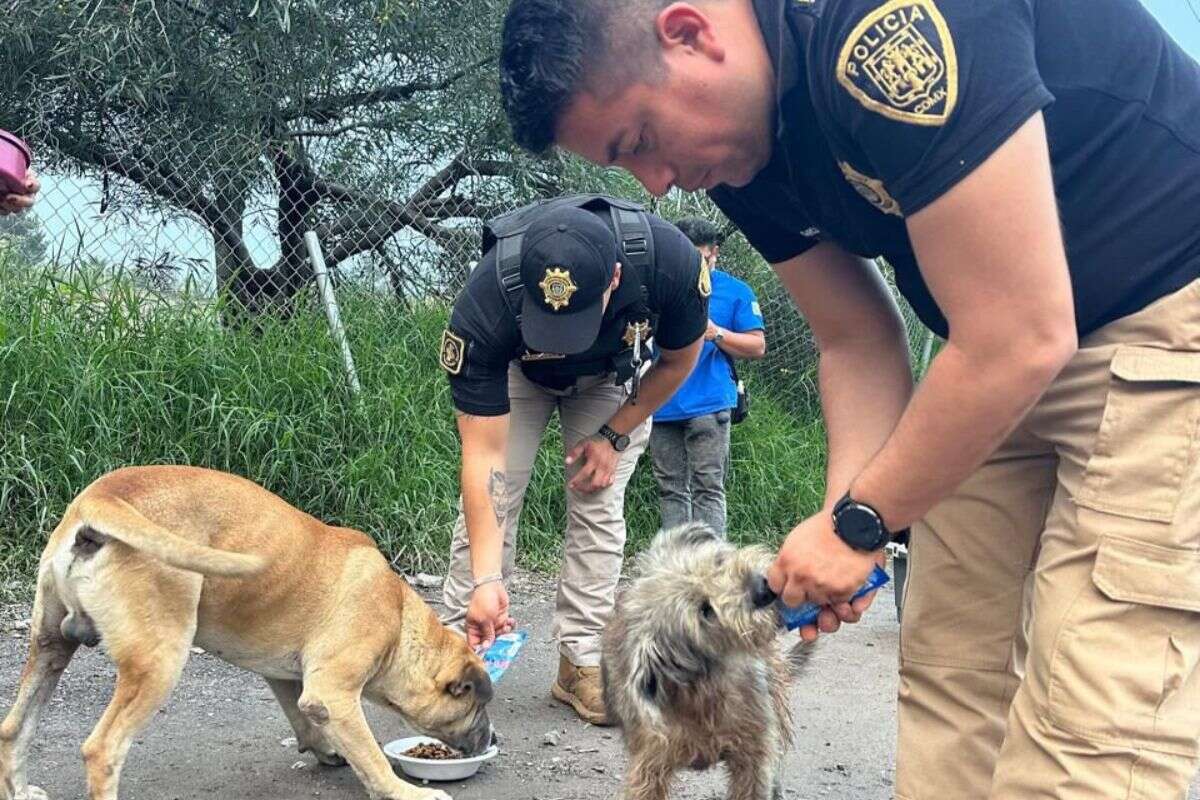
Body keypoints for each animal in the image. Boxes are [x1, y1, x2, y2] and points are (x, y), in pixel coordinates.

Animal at [0, 465, 494, 800]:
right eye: (474, 704)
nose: (490, 740)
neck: (400, 620)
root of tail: (103, 495)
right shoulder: (333, 694)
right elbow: (371, 757)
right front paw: (402, 790)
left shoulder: (288, 679)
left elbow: (305, 718)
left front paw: (326, 750)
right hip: (159, 664)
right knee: (103, 750)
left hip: (49, 648)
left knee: (13, 729)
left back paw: (18, 788)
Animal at [600, 525, 816, 800]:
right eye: (705, 610)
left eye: (718, 562)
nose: (762, 589)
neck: (706, 690)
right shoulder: (649, 768)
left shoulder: (754, 755)